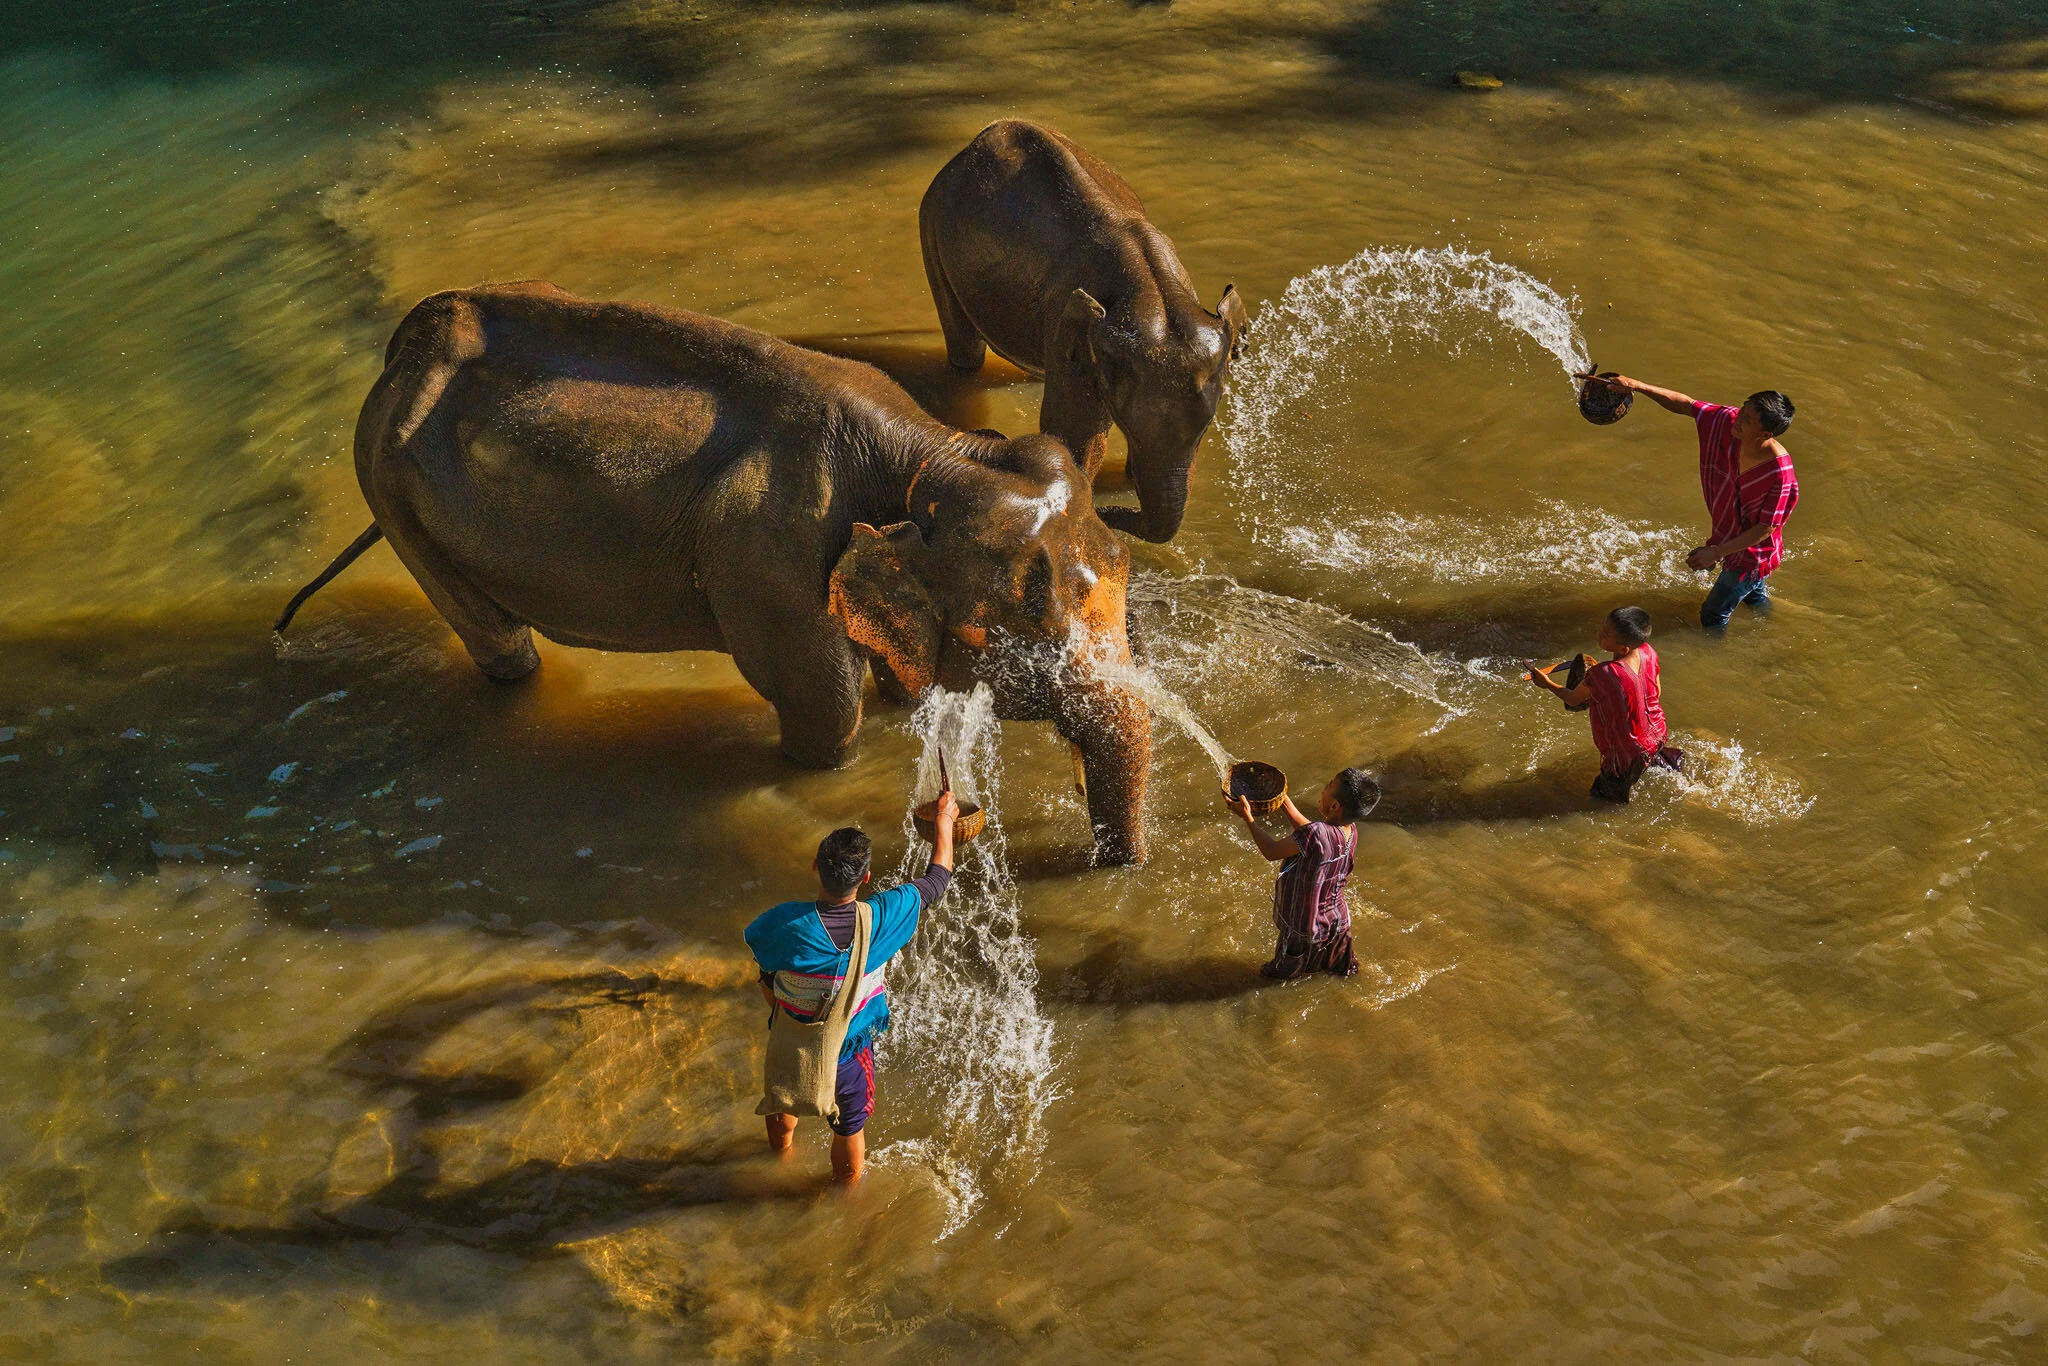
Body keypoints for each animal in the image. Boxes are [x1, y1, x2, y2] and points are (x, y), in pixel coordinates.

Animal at [274, 282, 1151, 864]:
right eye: (1010, 635)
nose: (1110, 862)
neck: (929, 452)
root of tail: (405, 347)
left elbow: (896, 682)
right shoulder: (773, 561)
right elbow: (825, 713)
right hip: (394, 495)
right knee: (497, 643)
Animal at [919, 119, 1249, 543]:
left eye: (1205, 432)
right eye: (1131, 432)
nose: (1108, 513)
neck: (1152, 286)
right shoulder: (1071, 314)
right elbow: (1074, 432)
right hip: (932, 228)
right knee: (965, 348)